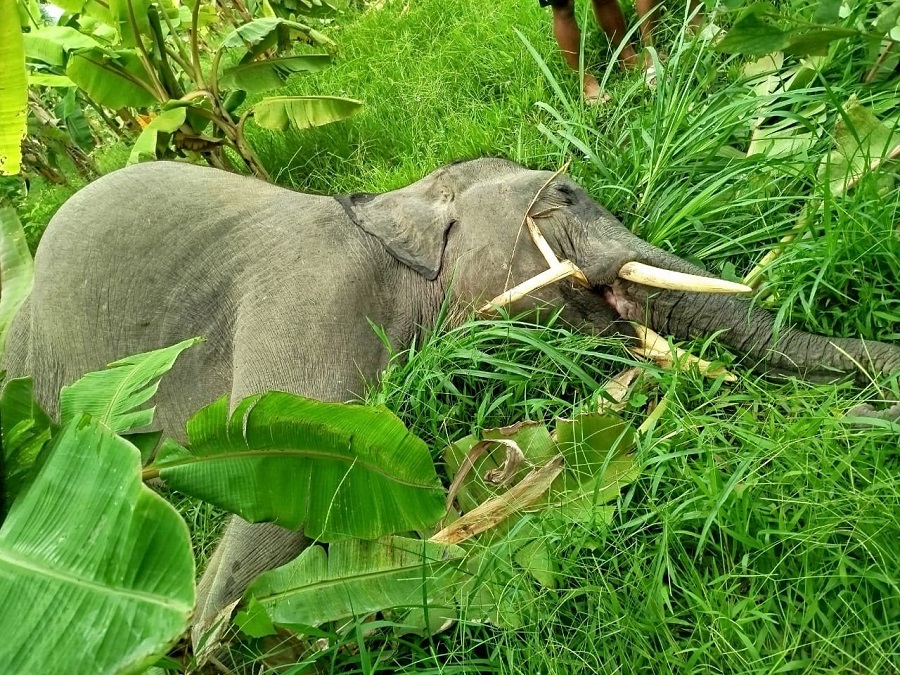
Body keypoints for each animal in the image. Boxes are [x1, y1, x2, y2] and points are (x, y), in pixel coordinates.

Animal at [3, 157, 898, 649]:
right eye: (563, 195)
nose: (869, 411)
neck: (402, 202)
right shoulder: (308, 303)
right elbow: (270, 504)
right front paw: (206, 628)